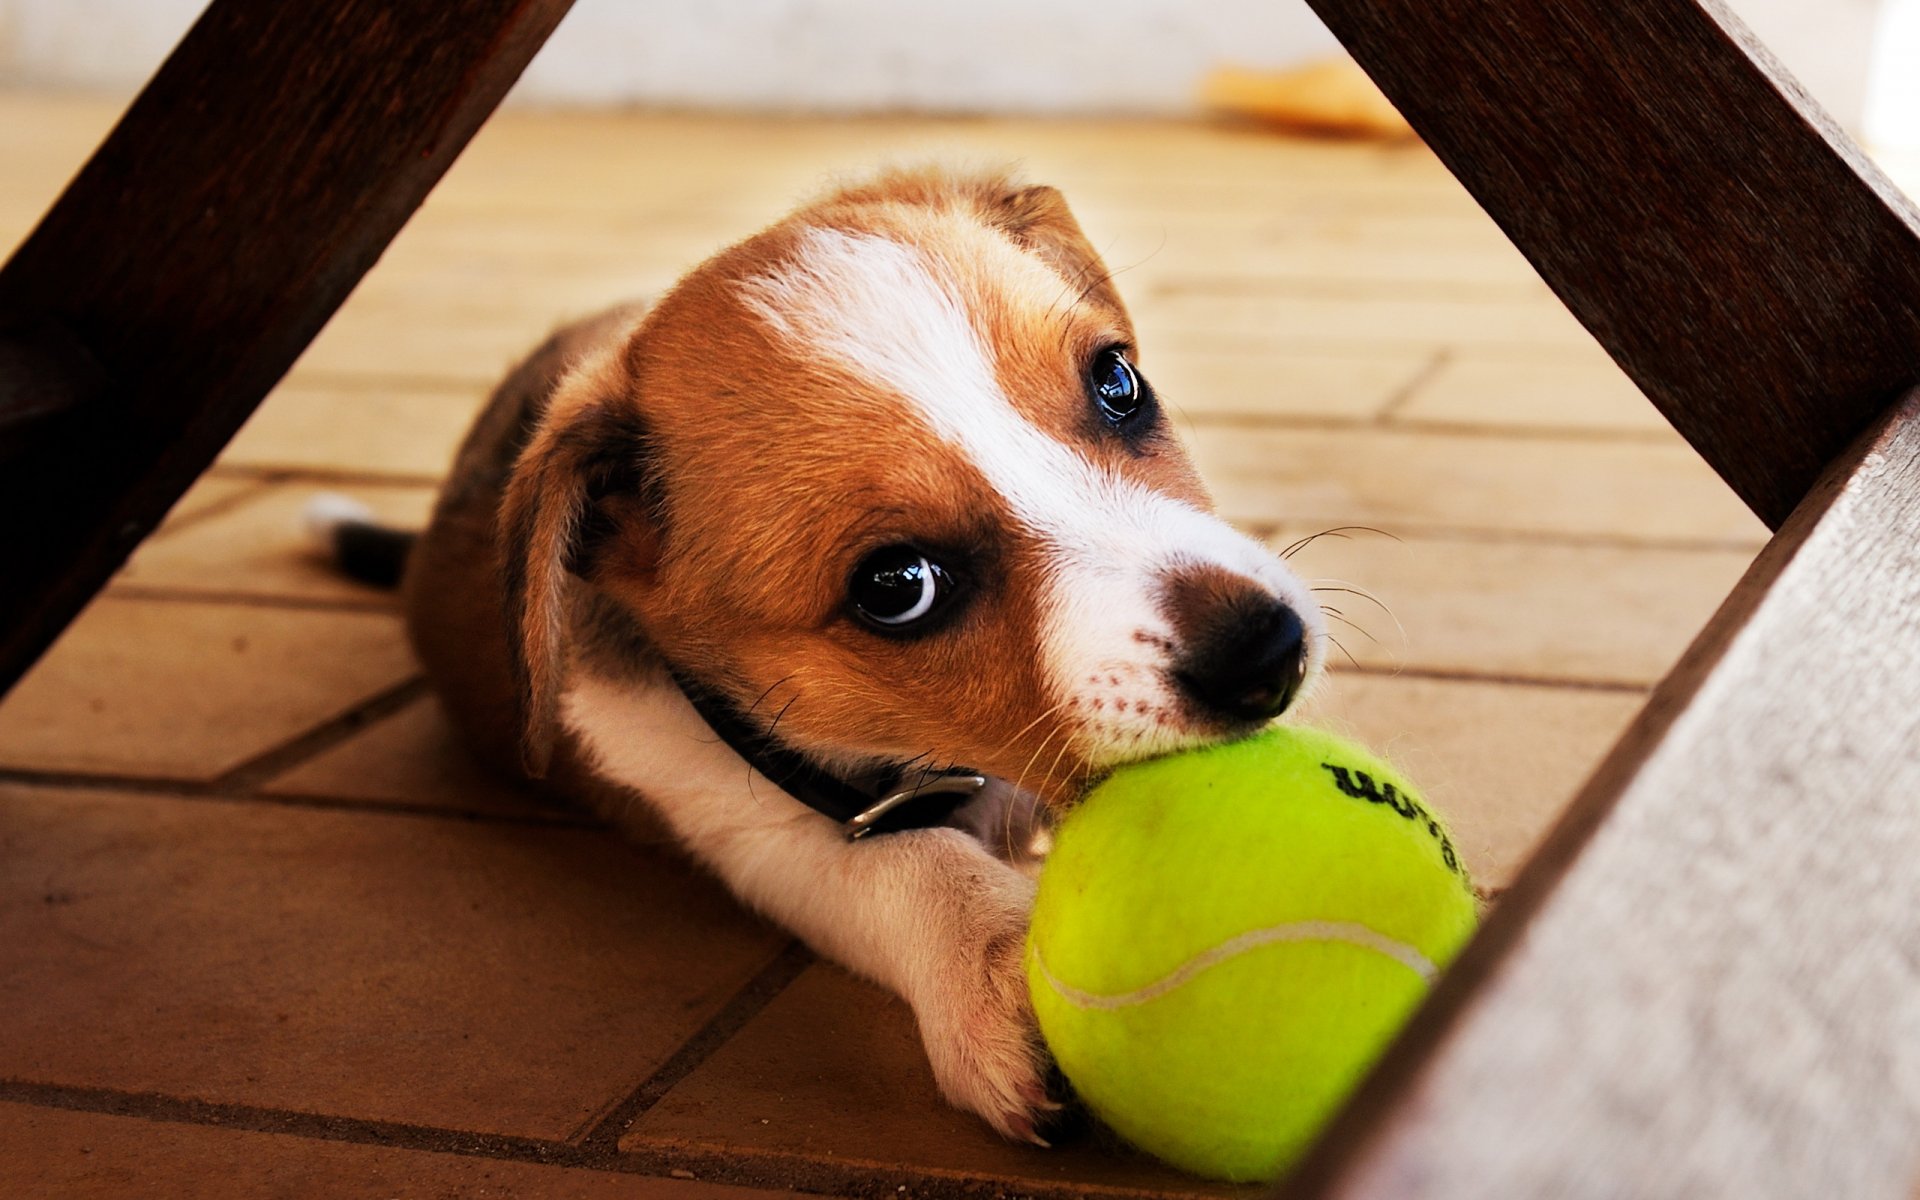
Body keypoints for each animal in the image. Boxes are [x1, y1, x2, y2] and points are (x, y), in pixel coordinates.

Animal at [345, 168, 1320, 1144]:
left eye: (1118, 382)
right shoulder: (746, 825)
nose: (1266, 653)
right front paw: (997, 960)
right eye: (897, 586)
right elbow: (906, 860)